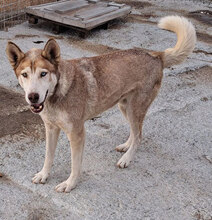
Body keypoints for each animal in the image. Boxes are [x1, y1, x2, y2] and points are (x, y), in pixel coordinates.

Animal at [6, 15, 195, 192]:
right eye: (24, 75)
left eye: (43, 74)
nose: (33, 97)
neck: (59, 91)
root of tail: (156, 55)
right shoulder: (51, 129)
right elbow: (48, 156)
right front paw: (44, 175)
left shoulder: (77, 134)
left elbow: (75, 165)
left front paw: (70, 184)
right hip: (124, 106)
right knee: (135, 133)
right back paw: (126, 146)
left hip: (135, 109)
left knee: (139, 136)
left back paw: (126, 159)